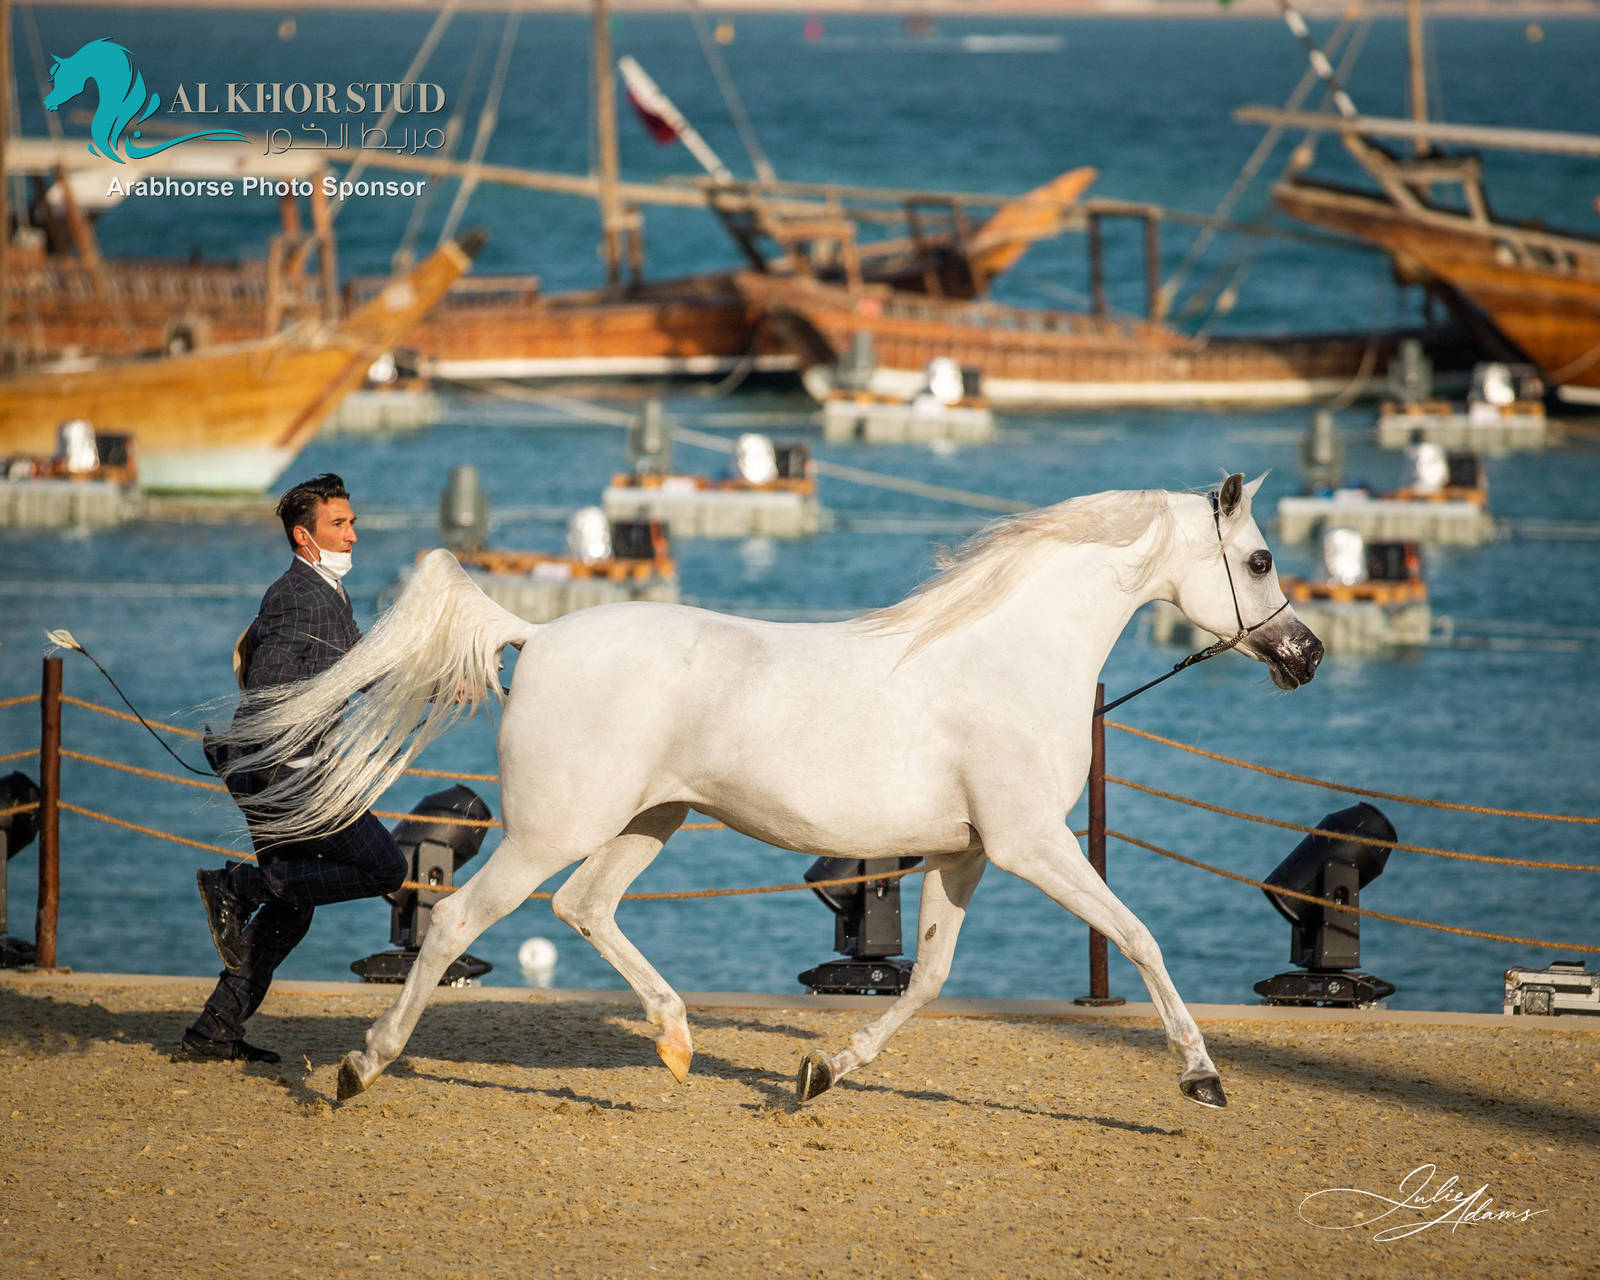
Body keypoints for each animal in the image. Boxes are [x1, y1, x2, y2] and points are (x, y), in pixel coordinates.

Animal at [216, 473, 1322, 1109]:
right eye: (1262, 557)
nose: (1305, 655)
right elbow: (1139, 937)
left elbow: (926, 976)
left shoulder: (965, 853)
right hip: (552, 828)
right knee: (454, 926)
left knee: (585, 908)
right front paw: (1202, 1075)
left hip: (648, 819)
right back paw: (360, 1067)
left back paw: (674, 1042)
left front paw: (817, 1075)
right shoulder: (1030, 843)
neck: (1006, 657)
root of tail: (538, 635)